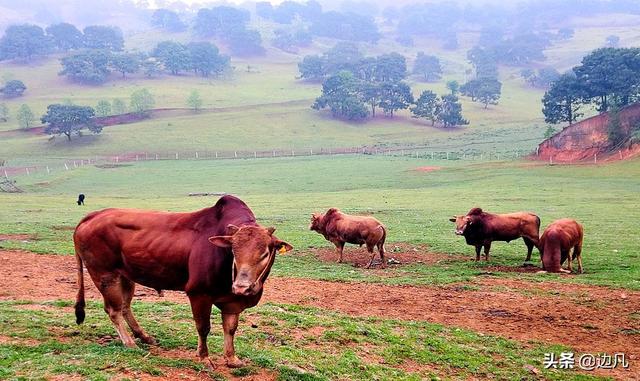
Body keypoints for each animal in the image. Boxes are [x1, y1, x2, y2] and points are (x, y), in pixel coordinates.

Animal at [74, 194, 294, 366]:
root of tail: (91, 216)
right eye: (233, 251)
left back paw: (143, 336)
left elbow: (230, 328)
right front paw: (204, 357)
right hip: (104, 275)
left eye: (265, 253)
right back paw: (130, 342)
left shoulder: (232, 301)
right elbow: (203, 327)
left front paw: (232, 358)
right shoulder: (198, 294)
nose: (242, 286)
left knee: (125, 307)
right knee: (114, 310)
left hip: (127, 276)